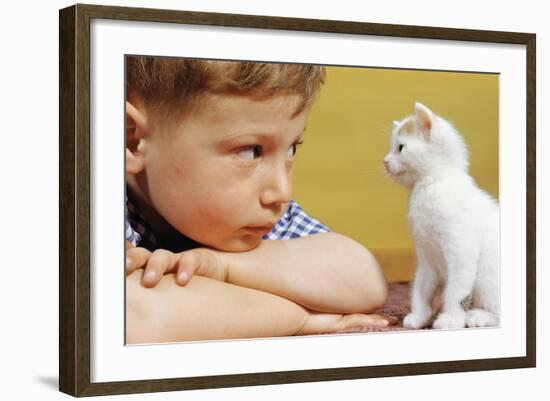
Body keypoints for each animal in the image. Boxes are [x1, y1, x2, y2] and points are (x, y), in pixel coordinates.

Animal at [386, 102, 502, 328]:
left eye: (400, 147)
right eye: (391, 148)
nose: (385, 161)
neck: (429, 185)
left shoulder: (461, 249)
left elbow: (457, 290)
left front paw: (451, 318)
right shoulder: (426, 255)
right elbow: (421, 287)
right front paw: (419, 315)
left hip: (487, 274)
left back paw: (478, 316)